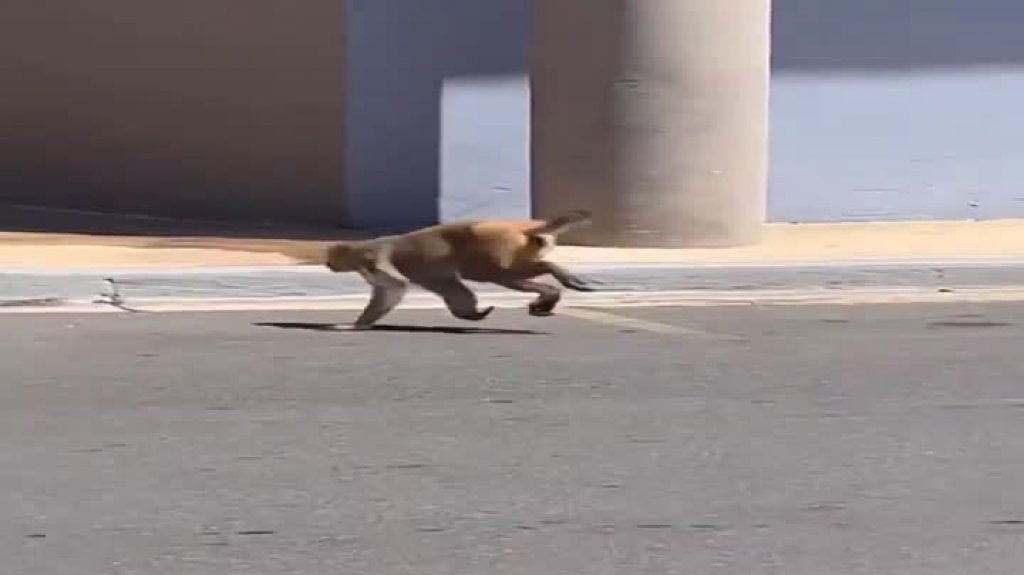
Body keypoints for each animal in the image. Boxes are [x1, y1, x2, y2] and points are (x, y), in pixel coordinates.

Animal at [321, 210, 599, 329]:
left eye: (332, 257)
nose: (328, 264)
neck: (361, 251)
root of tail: (521, 229)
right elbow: (390, 293)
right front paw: (360, 323)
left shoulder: (375, 260)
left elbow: (397, 283)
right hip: (521, 246)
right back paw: (550, 293)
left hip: (494, 248)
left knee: (499, 273)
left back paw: (553, 276)